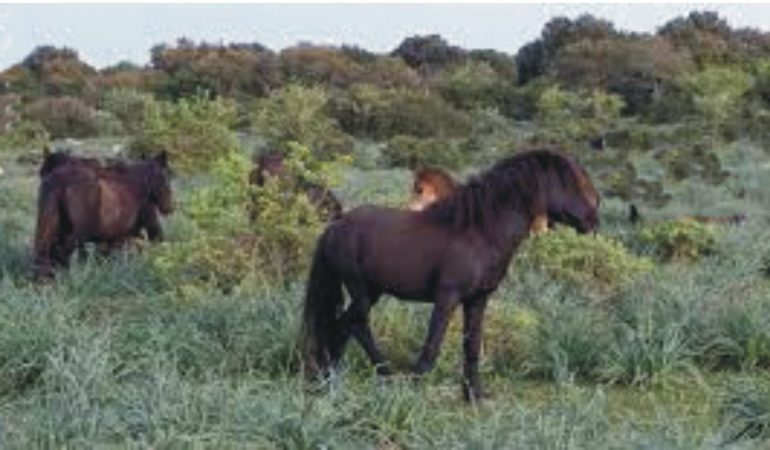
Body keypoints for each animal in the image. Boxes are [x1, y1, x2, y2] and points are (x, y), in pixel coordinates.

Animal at [35, 151, 172, 278]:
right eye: (167, 177)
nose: (170, 207)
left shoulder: (113, 238)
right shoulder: (147, 224)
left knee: (47, 253)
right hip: (77, 234)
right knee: (61, 254)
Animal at [300, 149, 600, 402]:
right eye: (567, 182)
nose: (593, 220)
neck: (480, 231)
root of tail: (334, 227)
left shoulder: (477, 300)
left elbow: (472, 347)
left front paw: (473, 395)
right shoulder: (447, 297)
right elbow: (432, 345)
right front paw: (415, 389)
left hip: (372, 291)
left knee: (344, 326)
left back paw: (332, 378)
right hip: (362, 290)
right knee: (355, 325)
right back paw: (379, 375)